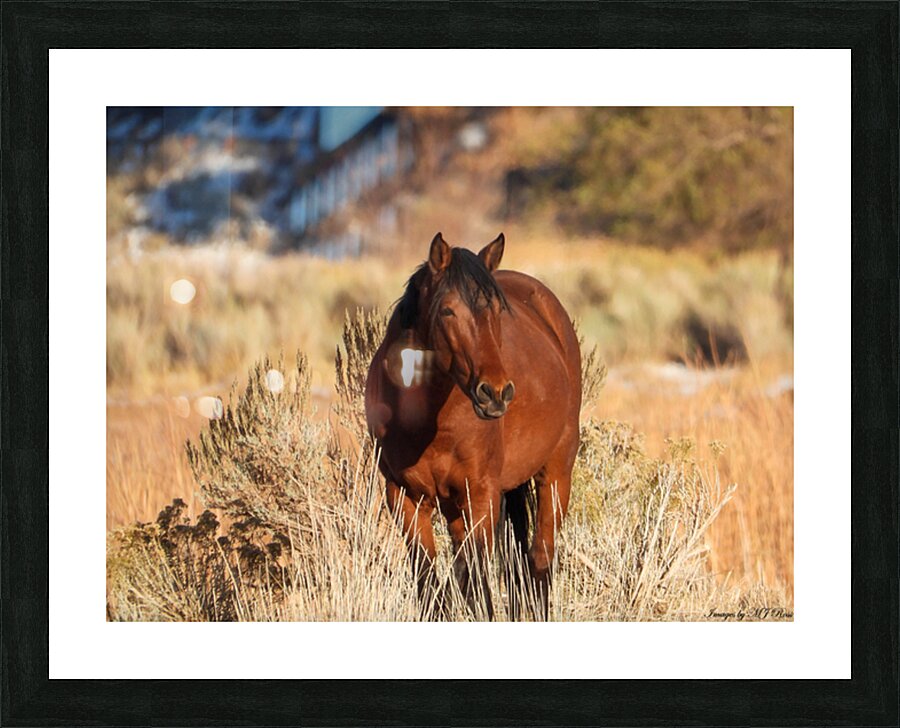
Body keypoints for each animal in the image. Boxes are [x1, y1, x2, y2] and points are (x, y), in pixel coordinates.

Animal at [364, 232, 582, 619]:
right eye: (448, 310)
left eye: (496, 311)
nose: (495, 393)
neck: (428, 425)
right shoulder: (404, 498)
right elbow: (431, 587)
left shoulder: (481, 496)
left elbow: (477, 582)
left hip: (555, 476)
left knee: (540, 560)